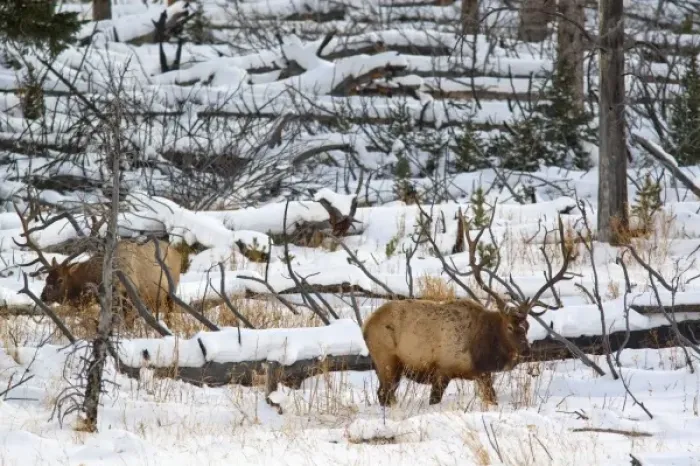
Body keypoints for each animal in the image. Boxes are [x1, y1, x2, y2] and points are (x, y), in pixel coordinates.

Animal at [13, 202, 183, 330]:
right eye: (47, 278)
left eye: (60, 279)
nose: (43, 295)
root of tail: (178, 253)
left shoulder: (129, 299)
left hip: (170, 293)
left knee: (170, 316)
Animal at [362, 215, 574, 407]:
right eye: (509, 327)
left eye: (528, 326)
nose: (526, 350)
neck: (482, 353)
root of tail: (366, 325)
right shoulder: (442, 370)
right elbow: (435, 401)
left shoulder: (482, 374)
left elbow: (492, 399)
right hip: (387, 360)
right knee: (384, 395)